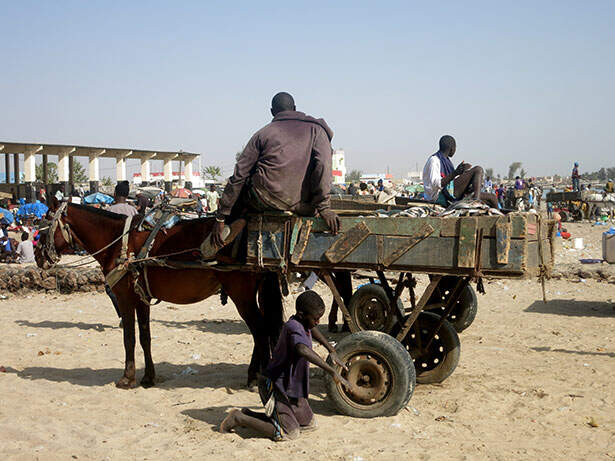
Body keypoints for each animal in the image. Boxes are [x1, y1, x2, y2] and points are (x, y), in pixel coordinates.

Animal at [34, 201, 284, 388]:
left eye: (45, 224)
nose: (37, 255)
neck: (118, 242)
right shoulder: (141, 298)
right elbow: (145, 336)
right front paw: (148, 377)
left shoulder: (125, 298)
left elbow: (129, 338)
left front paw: (127, 378)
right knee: (262, 331)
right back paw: (254, 375)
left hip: (241, 295)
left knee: (260, 332)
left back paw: (258, 378)